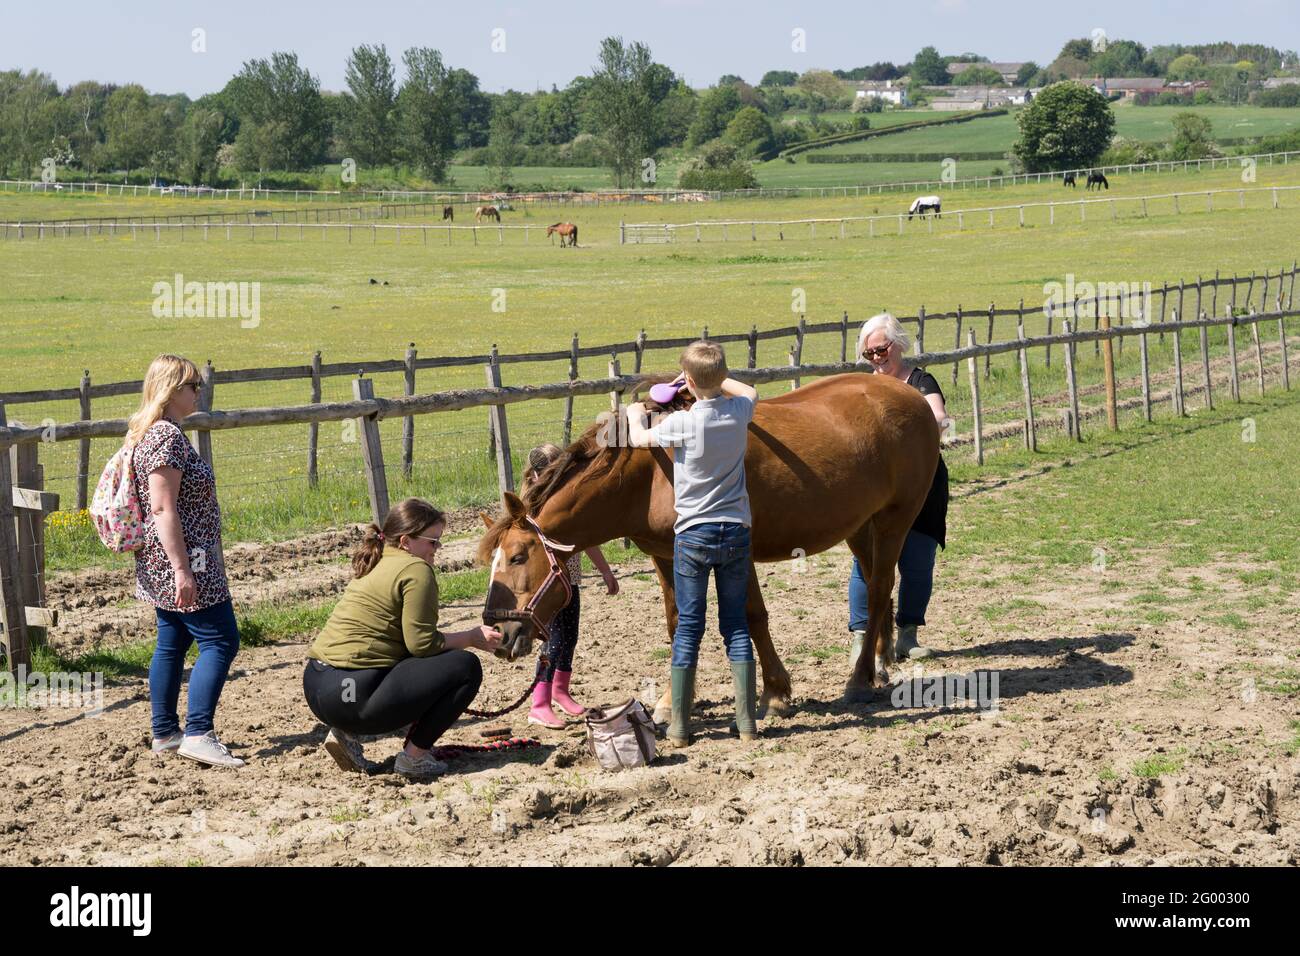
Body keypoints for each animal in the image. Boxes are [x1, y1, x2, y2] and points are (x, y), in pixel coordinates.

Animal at [476, 372, 940, 718]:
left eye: (518, 557)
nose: (499, 632)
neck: (648, 472)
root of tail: (910, 395)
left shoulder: (737, 550)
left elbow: (753, 616)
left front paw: (774, 692)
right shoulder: (665, 556)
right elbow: (677, 622)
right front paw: (671, 701)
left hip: (894, 520)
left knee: (879, 589)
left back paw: (859, 680)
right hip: (860, 527)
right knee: (877, 588)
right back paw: (879, 663)